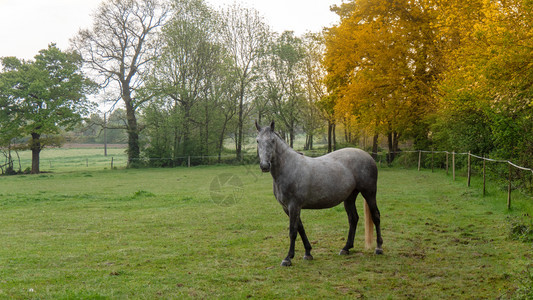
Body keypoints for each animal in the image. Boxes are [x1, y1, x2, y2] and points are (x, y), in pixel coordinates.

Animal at [255, 120, 382, 266]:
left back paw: (379, 248)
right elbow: (300, 228)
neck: (289, 167)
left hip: (369, 193)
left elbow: (293, 231)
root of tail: (368, 156)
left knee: (375, 216)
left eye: (272, 140)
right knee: (353, 219)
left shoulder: (294, 206)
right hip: (350, 197)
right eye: (258, 140)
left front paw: (288, 258)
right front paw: (308, 253)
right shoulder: (287, 208)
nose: (264, 166)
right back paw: (346, 248)